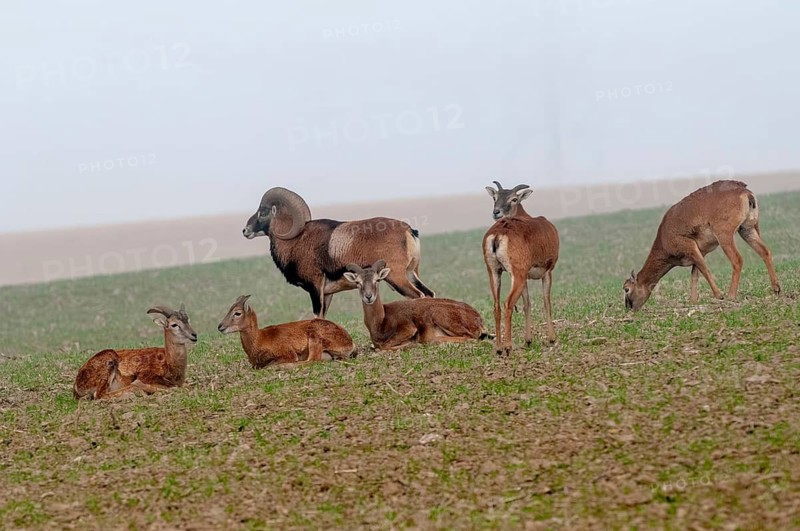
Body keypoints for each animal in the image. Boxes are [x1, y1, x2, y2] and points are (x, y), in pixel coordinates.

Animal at [217, 294, 355, 367]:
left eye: (237, 313)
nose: (220, 327)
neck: (260, 339)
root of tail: (350, 342)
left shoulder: (288, 353)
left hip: (314, 336)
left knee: (312, 360)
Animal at [242, 187, 435, 317]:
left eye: (263, 212)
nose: (245, 231)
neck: (295, 241)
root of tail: (408, 230)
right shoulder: (327, 294)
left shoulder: (315, 287)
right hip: (410, 274)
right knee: (429, 294)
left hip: (397, 277)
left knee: (419, 296)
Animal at [343, 260, 489, 351]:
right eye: (358, 282)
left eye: (377, 280)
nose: (368, 296)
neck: (381, 321)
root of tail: (477, 318)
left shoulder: (408, 328)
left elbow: (384, 347)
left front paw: (411, 344)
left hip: (440, 316)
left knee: (470, 337)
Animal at [483, 181, 560, 354]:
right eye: (495, 197)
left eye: (513, 199)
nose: (496, 212)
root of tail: (498, 234)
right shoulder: (547, 273)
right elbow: (546, 302)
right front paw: (551, 339)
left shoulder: (524, 278)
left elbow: (527, 304)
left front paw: (528, 340)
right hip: (516, 275)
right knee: (507, 303)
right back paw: (508, 347)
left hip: (494, 272)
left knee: (496, 306)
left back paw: (499, 348)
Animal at [623, 180, 781, 311]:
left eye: (626, 289)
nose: (629, 308)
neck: (664, 238)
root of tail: (746, 193)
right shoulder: (699, 253)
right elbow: (695, 273)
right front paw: (693, 301)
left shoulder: (690, 247)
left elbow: (703, 269)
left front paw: (719, 295)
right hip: (747, 230)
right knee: (765, 252)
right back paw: (776, 289)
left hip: (725, 236)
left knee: (737, 260)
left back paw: (731, 296)